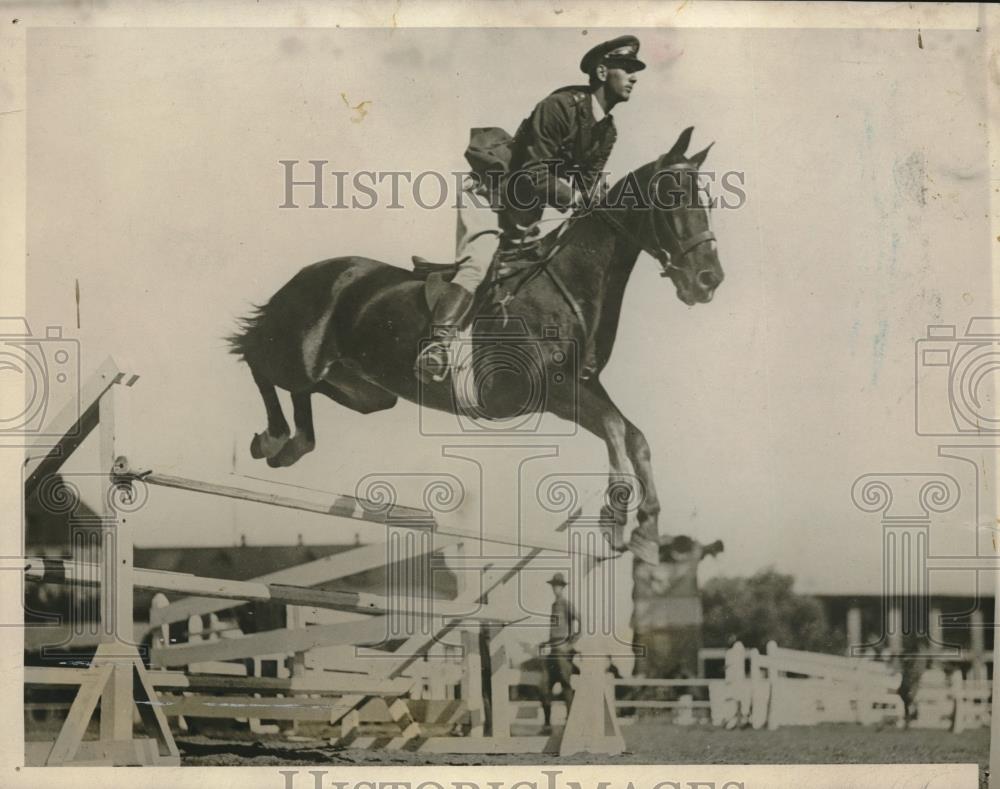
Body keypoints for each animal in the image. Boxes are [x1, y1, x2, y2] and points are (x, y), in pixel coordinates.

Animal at [228, 126, 728, 564]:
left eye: (706, 200)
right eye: (674, 196)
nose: (709, 280)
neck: (568, 282)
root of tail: (311, 273)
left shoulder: (583, 385)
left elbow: (634, 435)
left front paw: (646, 527)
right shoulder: (552, 390)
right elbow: (613, 427)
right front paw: (617, 515)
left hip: (366, 391)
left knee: (304, 392)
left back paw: (292, 445)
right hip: (297, 353)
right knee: (257, 361)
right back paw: (273, 438)